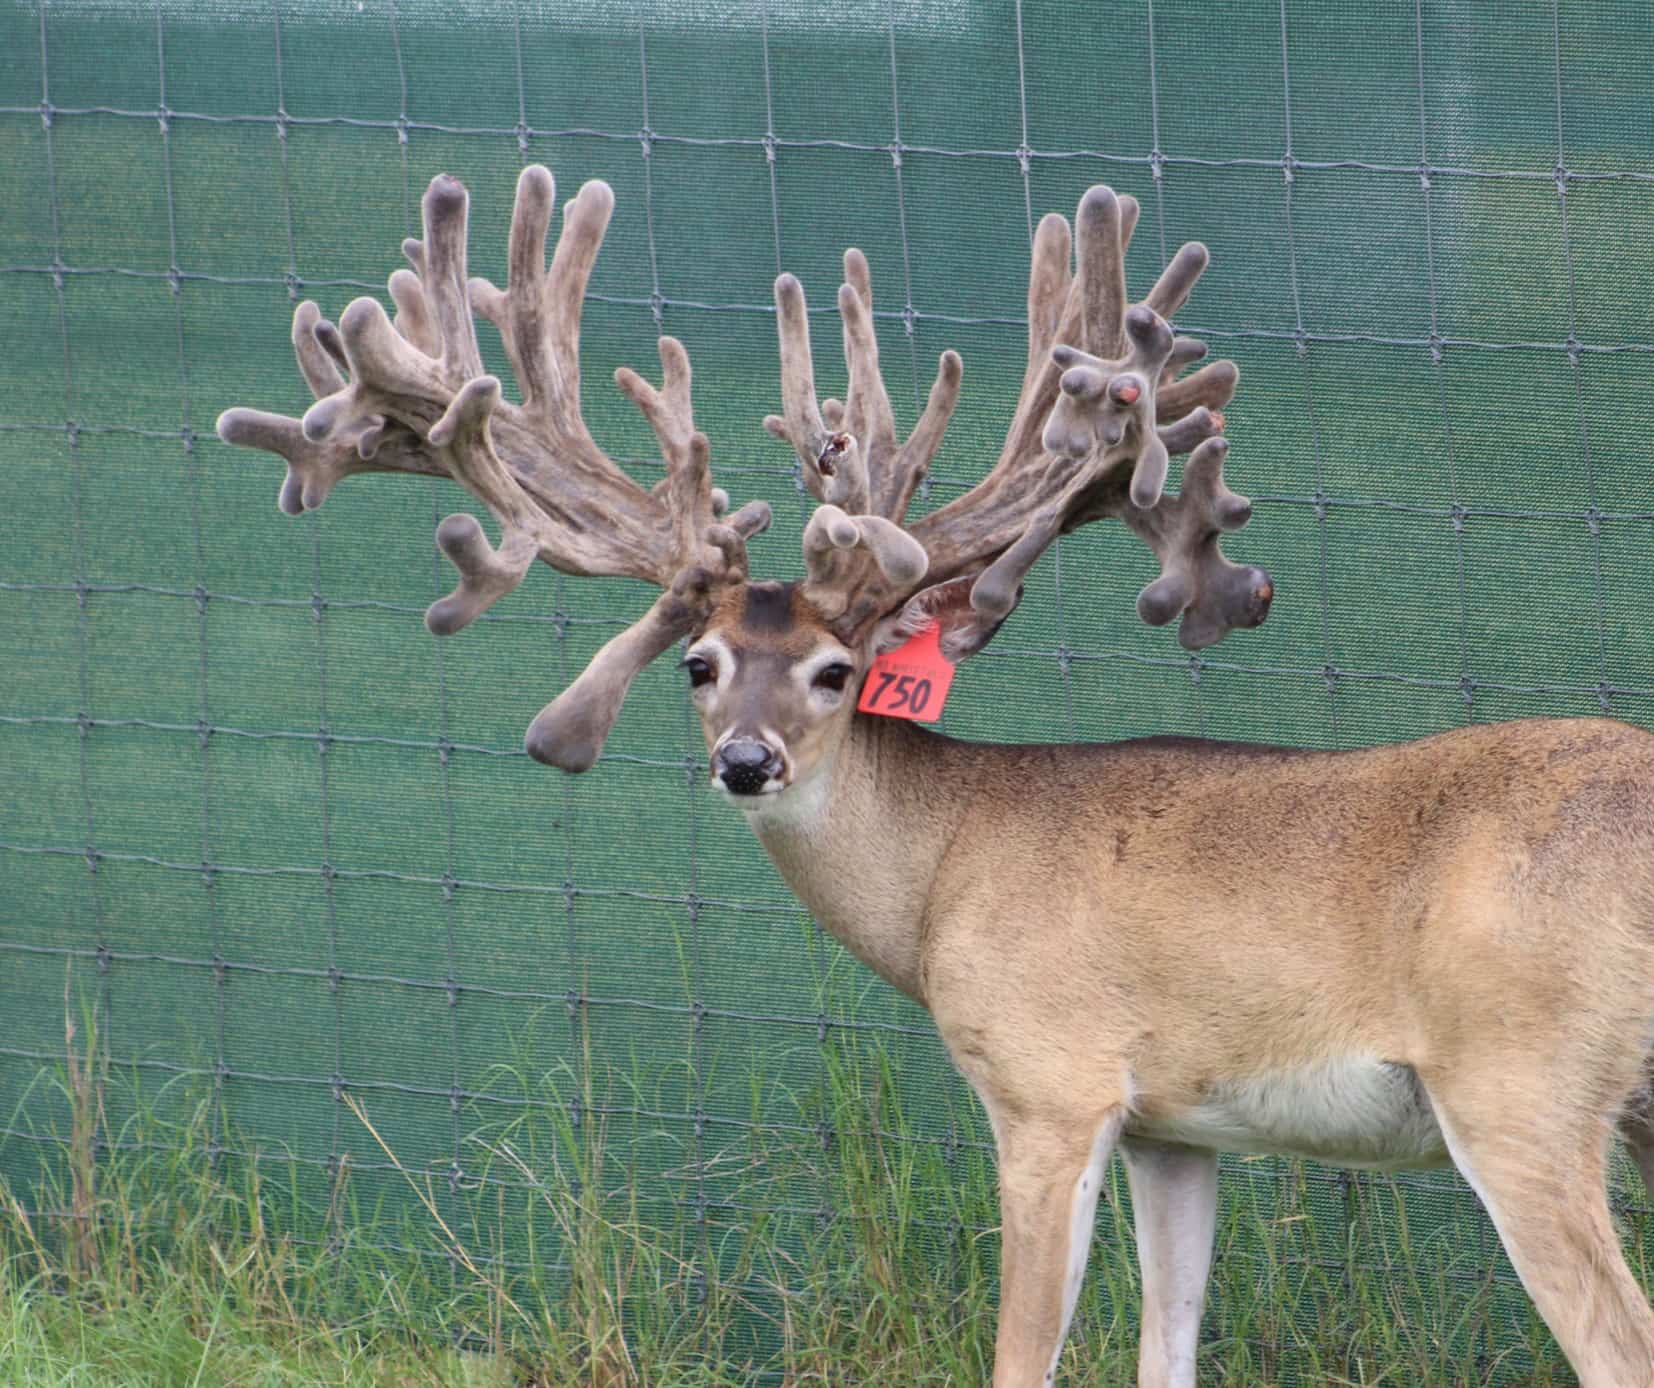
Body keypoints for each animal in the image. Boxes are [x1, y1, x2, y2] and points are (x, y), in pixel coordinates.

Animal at [216, 162, 1654, 1387]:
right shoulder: (1179, 1123)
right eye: (699, 663)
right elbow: (1167, 1351)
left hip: (1520, 1082)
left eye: (834, 671)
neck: (945, 870)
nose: (746, 761)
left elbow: (1024, 1357)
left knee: (1614, 1340)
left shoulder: (1046, 1075)